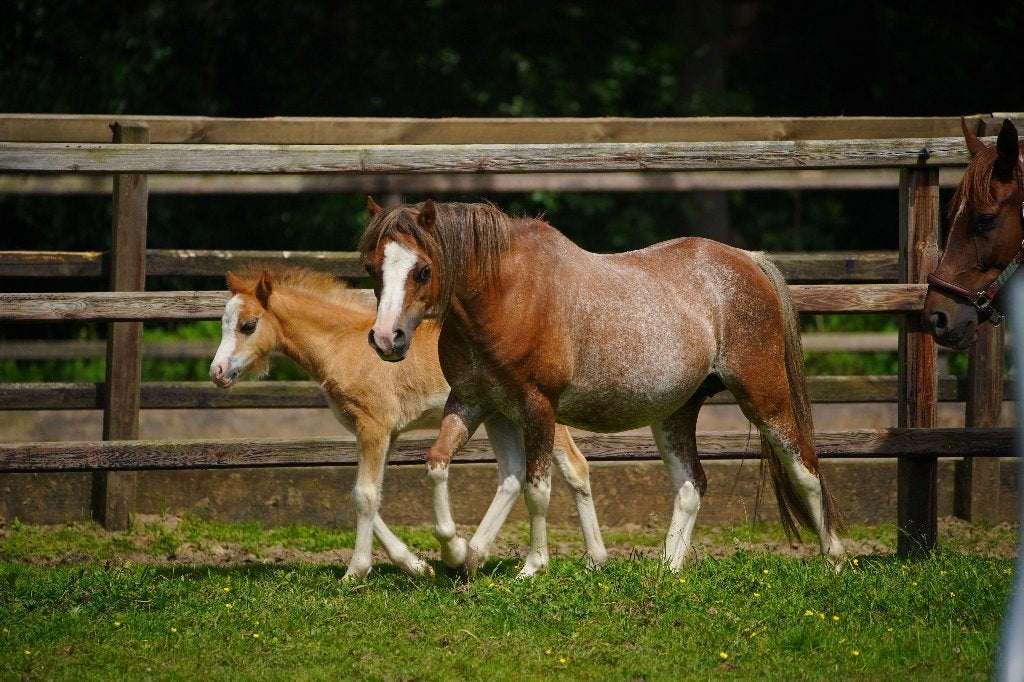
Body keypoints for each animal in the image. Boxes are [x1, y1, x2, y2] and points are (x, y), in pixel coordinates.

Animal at [208, 265, 607, 579]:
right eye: (224, 324)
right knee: (512, 477)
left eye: (248, 325)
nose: (217, 372)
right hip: (499, 415)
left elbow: (364, 495)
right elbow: (368, 496)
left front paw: (355, 572)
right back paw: (472, 555)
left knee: (574, 467)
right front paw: (417, 565)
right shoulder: (387, 433)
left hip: (537, 415)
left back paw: (592, 559)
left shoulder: (374, 427)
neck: (344, 345)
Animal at [360, 198, 846, 576]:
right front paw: (458, 551)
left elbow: (537, 489)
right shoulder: (475, 403)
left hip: (764, 399)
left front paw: (532, 567)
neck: (508, 294)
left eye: (423, 270)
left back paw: (835, 558)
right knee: (691, 484)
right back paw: (667, 569)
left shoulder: (538, 407)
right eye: (372, 267)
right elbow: (438, 464)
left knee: (805, 467)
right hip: (674, 413)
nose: (386, 339)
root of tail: (747, 259)